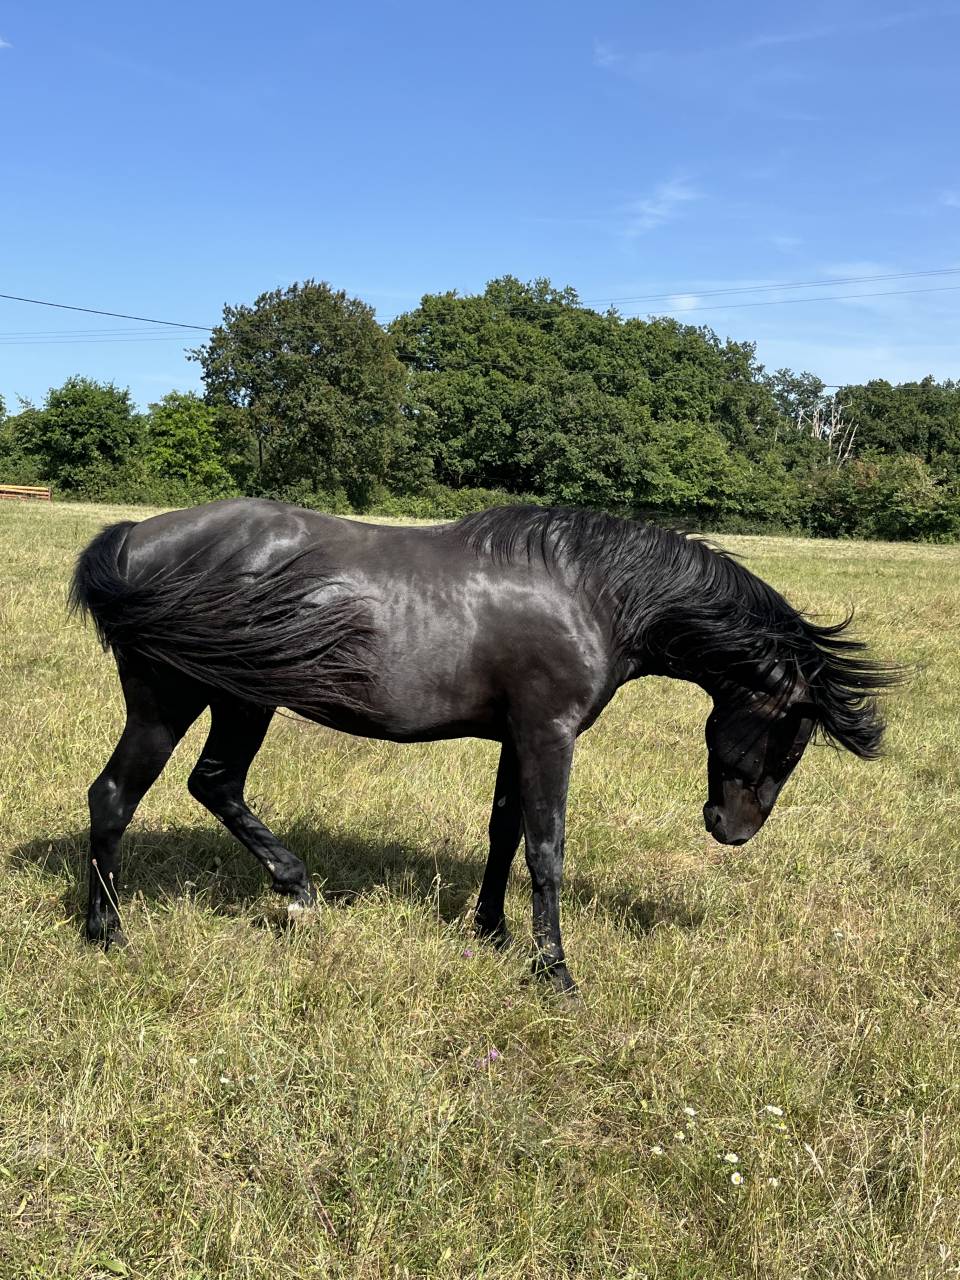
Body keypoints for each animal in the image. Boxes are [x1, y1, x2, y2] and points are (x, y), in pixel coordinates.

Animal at [70, 499, 897, 991]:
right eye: (791, 735)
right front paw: (555, 971)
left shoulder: (516, 736)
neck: (590, 590)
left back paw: (294, 889)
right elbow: (546, 848)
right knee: (118, 797)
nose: (734, 830)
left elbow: (503, 833)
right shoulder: (548, 734)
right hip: (187, 701)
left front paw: (492, 932)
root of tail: (136, 536)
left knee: (211, 785)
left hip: (240, 698)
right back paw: (107, 933)